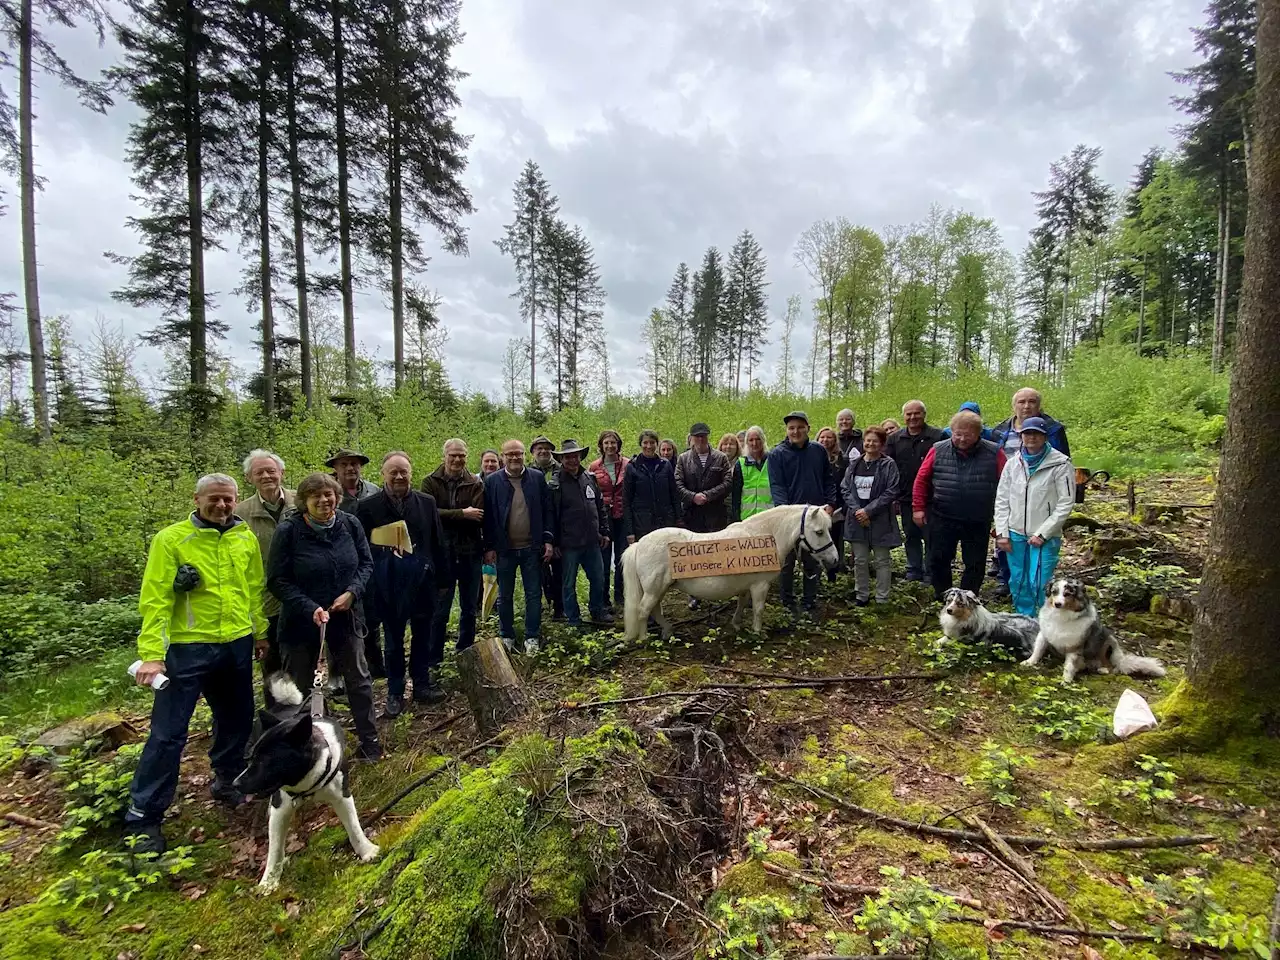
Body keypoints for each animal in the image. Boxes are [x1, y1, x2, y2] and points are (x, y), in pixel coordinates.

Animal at [231, 675, 378, 896]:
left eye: (265, 760)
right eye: (253, 759)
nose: (236, 783)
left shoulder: (342, 795)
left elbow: (354, 827)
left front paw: (367, 851)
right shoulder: (280, 807)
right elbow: (275, 849)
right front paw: (269, 882)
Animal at [619, 504, 839, 647]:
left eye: (828, 529)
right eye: (819, 532)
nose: (834, 560)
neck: (763, 535)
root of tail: (639, 543)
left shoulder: (747, 586)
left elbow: (742, 603)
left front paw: (737, 625)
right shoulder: (760, 585)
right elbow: (758, 609)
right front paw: (757, 634)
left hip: (659, 589)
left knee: (654, 610)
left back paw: (667, 632)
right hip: (654, 589)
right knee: (643, 610)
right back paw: (644, 639)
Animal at [1018, 578, 1172, 686]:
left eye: (1067, 594)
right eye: (1054, 592)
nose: (1057, 604)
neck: (1061, 616)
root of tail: (1120, 658)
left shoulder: (1075, 647)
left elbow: (1069, 666)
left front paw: (1066, 680)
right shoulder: (1044, 635)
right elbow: (1038, 650)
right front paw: (1029, 662)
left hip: (1109, 641)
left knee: (1113, 667)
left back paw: (1103, 669)